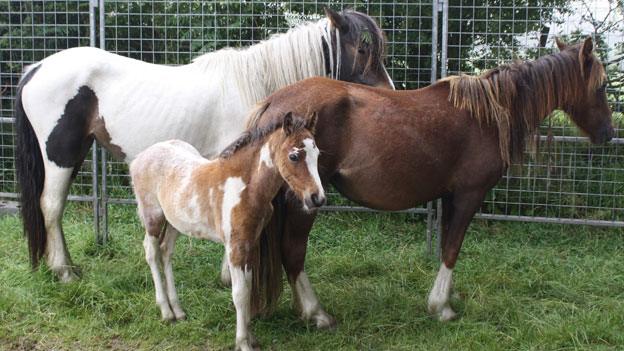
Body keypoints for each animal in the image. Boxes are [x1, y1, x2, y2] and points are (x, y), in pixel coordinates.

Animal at [14, 8, 392, 284]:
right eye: (362, 49)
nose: (388, 93)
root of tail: (37, 67)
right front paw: (232, 275)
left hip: (75, 153)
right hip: (60, 155)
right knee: (51, 206)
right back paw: (64, 272)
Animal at [128, 112, 322, 350]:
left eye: (317, 154)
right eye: (294, 156)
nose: (317, 198)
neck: (246, 188)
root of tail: (141, 157)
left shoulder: (250, 243)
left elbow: (248, 287)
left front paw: (251, 337)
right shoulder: (235, 247)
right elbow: (239, 294)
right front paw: (243, 342)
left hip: (175, 223)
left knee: (165, 252)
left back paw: (178, 311)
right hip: (153, 217)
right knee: (151, 252)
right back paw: (166, 311)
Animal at [244, 37, 616, 324]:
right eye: (600, 86)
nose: (608, 134)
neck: (488, 115)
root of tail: (274, 102)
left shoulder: (451, 196)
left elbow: (446, 245)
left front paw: (445, 299)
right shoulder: (469, 194)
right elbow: (452, 248)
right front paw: (441, 308)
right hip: (304, 201)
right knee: (293, 251)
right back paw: (316, 313)